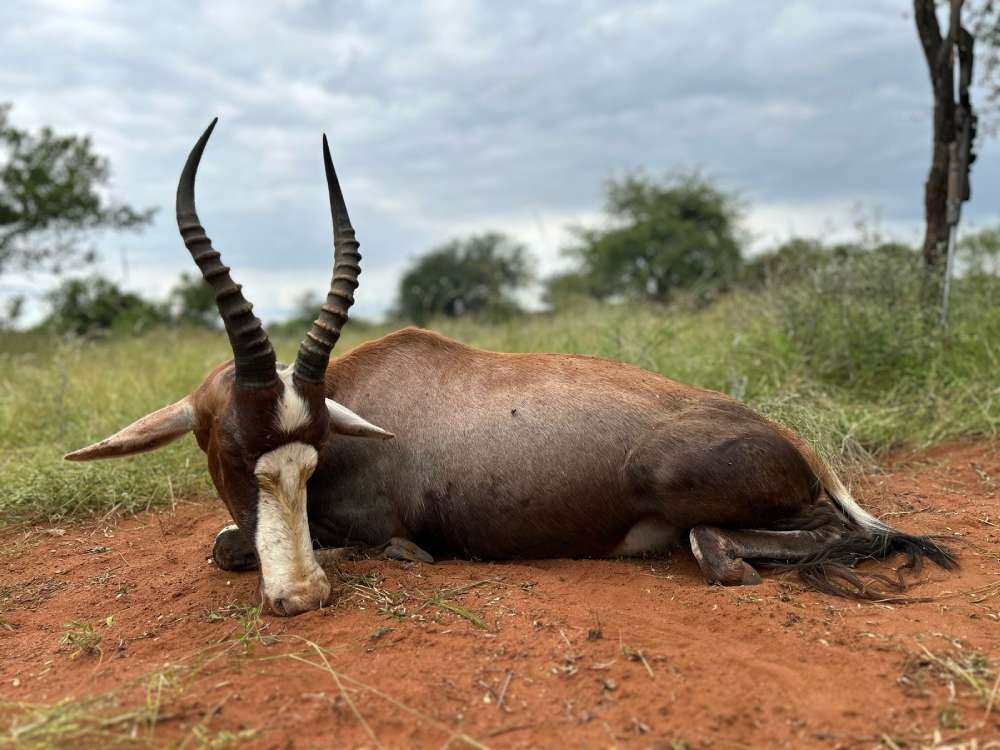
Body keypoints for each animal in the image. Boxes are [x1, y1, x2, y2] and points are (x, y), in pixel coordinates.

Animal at [66, 121, 955, 616]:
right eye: (229, 450)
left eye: (309, 456)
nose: (303, 597)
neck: (365, 395)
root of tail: (798, 443)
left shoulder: (382, 533)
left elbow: (236, 545)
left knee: (821, 537)